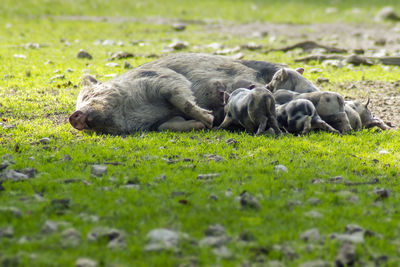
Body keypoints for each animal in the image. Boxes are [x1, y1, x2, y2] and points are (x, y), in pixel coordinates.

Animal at [69, 68, 214, 135]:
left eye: (87, 96)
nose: (72, 117)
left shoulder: (166, 81)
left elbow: (182, 100)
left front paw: (209, 120)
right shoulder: (155, 123)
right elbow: (165, 126)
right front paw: (201, 125)